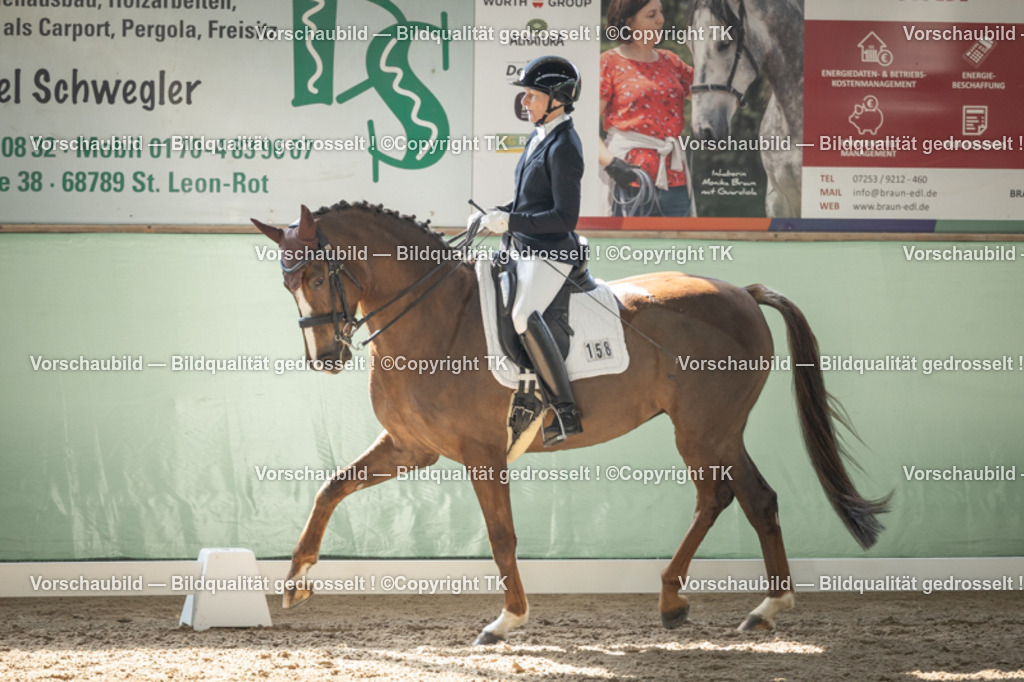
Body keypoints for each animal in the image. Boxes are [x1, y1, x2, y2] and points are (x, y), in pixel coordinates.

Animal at [251, 201, 888, 644]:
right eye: (285, 282)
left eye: (316, 275)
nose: (325, 357)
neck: (433, 318)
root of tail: (744, 293)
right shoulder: (410, 447)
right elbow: (331, 487)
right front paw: (296, 580)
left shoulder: (482, 454)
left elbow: (501, 535)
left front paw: (508, 620)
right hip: (716, 432)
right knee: (740, 498)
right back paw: (712, 605)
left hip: (706, 431)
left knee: (736, 497)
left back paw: (740, 605)